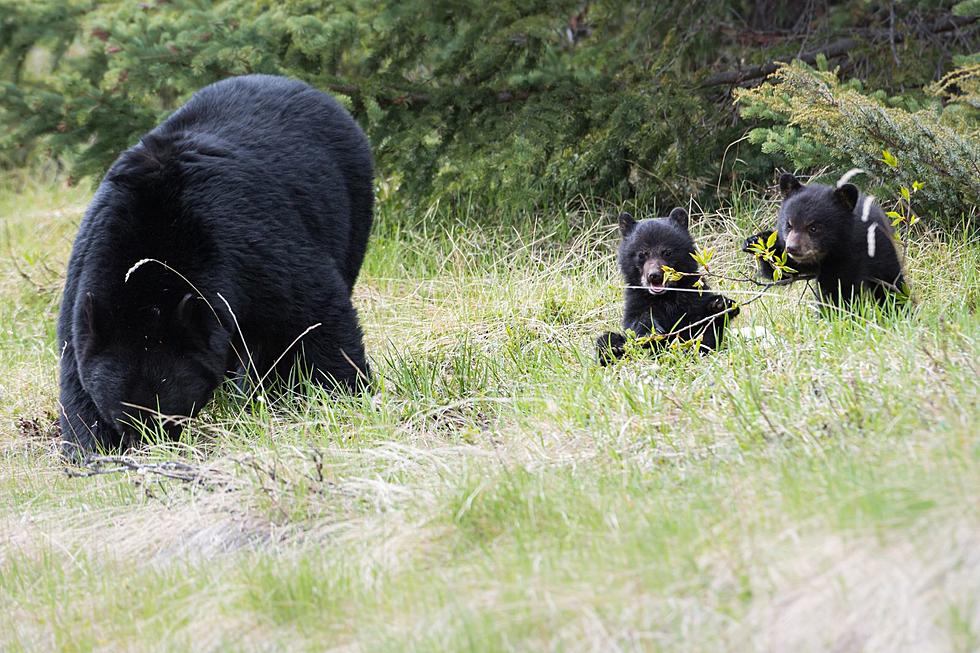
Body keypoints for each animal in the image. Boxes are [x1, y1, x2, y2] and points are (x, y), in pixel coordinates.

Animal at [58, 74, 372, 456]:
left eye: (171, 415)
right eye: (122, 417)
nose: (151, 447)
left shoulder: (251, 246)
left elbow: (314, 311)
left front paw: (345, 395)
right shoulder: (85, 280)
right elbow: (75, 372)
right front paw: (90, 447)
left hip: (352, 196)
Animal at [592, 208, 740, 364]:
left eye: (667, 252)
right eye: (642, 254)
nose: (654, 275)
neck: (666, 296)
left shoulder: (693, 295)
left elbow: (705, 330)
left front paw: (721, 304)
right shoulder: (636, 299)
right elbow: (635, 321)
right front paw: (649, 331)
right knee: (606, 338)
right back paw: (614, 349)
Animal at [744, 172, 912, 306]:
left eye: (813, 228)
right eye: (789, 224)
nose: (792, 248)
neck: (826, 253)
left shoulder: (850, 255)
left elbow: (838, 287)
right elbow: (783, 270)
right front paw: (756, 241)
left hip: (881, 252)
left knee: (889, 284)